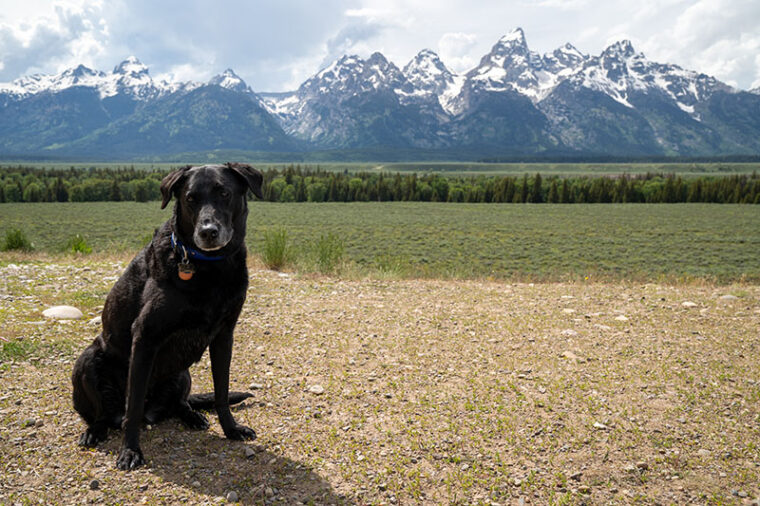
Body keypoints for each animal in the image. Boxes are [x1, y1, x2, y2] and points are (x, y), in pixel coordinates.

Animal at [72, 163, 262, 470]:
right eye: (190, 198)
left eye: (224, 193)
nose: (208, 232)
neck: (209, 267)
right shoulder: (145, 337)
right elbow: (133, 404)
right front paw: (131, 451)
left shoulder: (224, 336)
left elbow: (221, 392)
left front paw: (231, 429)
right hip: (87, 360)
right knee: (105, 414)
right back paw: (95, 431)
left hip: (182, 373)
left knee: (180, 403)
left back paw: (192, 415)